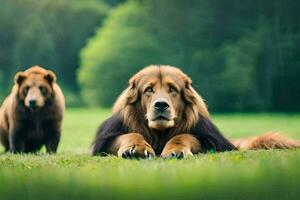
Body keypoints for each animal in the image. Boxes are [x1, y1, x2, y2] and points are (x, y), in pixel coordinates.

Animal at [92, 65, 300, 159]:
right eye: (148, 89)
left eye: (172, 89)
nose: (161, 105)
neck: (160, 133)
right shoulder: (106, 141)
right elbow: (130, 134)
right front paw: (136, 148)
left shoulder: (211, 140)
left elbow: (184, 136)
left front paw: (175, 149)